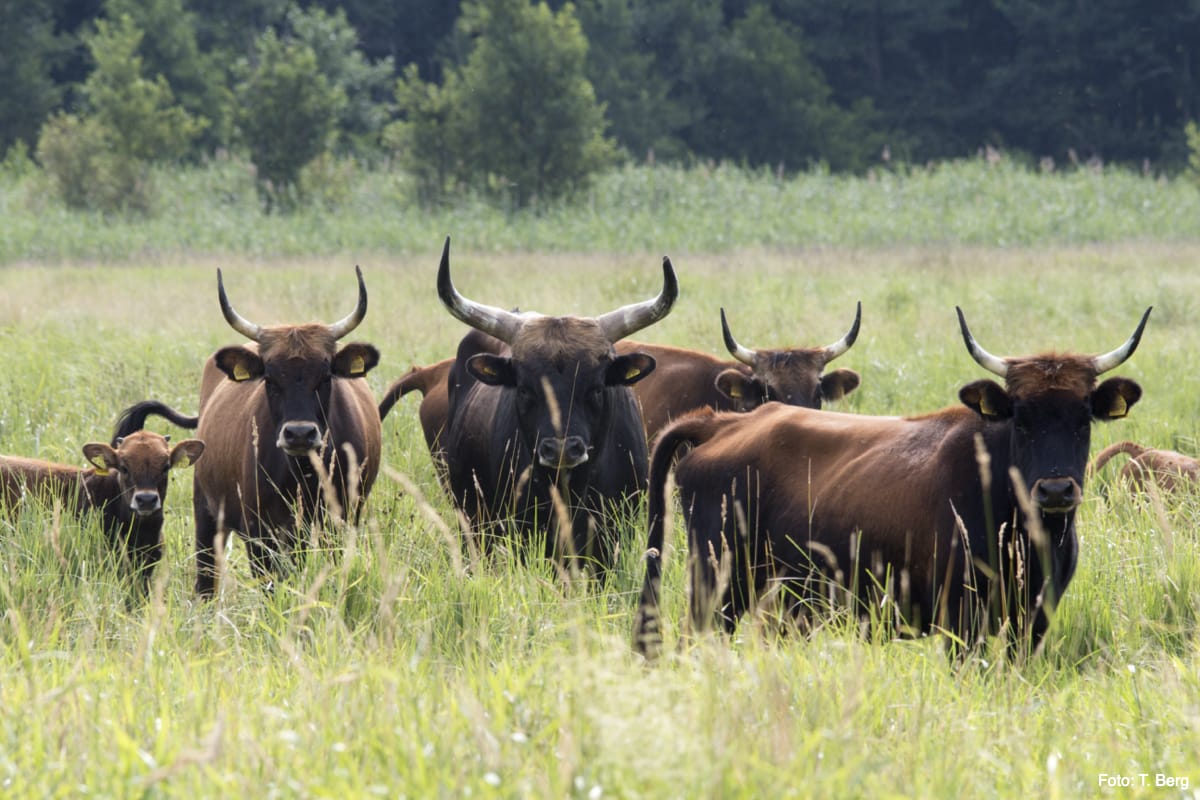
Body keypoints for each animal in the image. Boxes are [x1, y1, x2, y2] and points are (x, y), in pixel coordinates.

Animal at [116, 267, 379, 594]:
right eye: (270, 378)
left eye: (325, 375)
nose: (300, 434)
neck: (302, 473)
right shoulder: (259, 529)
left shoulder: (341, 518)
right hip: (206, 512)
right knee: (206, 578)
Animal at [633, 307, 1147, 657]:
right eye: (1020, 419)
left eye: (1082, 419)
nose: (1056, 491)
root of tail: (722, 423)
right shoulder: (961, 620)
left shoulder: (1033, 620)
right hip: (715, 585)